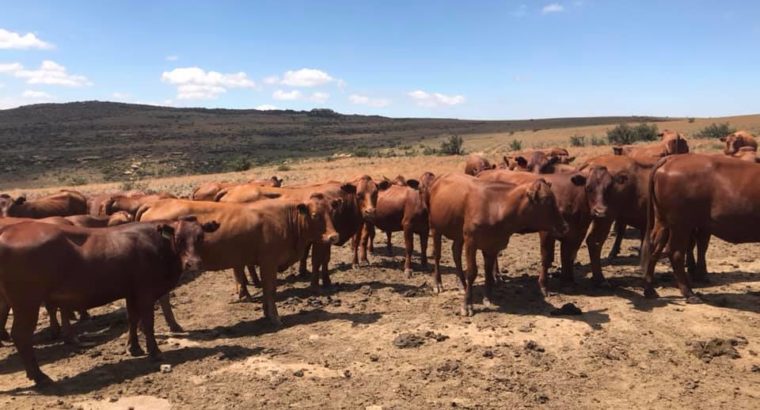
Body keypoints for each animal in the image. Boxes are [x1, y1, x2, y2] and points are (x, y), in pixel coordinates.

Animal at [0, 216, 219, 386]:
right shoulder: (146, 293)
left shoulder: (131, 292)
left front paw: (134, 348)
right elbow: (148, 323)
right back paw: (40, 376)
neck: (158, 245)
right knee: (21, 335)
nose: (193, 263)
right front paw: (154, 351)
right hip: (26, 303)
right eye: (179, 239)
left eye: (200, 237)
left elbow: (132, 319)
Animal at [137, 196, 339, 329]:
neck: (286, 219)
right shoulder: (269, 261)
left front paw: (266, 313)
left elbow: (266, 290)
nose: (333, 236)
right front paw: (275, 318)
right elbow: (270, 290)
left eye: (332, 212)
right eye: (314, 214)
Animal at [428, 173, 568, 316]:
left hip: (458, 234)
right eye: (547, 200)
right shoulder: (471, 242)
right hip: (435, 227)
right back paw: (438, 284)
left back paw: (462, 285)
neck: (496, 207)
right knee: (437, 255)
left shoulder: (492, 245)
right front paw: (467, 305)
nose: (564, 226)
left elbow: (488, 271)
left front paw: (487, 298)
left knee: (455, 253)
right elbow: (472, 272)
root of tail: (441, 177)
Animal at [477, 166, 615, 295]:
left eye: (609, 187)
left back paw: (497, 276)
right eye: (588, 187)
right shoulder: (547, 232)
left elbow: (569, 256)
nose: (600, 211)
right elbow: (547, 257)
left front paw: (568, 282)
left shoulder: (577, 233)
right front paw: (543, 286)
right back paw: (496, 278)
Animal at [641, 154, 760, 302]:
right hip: (681, 224)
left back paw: (650, 290)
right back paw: (689, 293)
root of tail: (672, 159)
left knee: (654, 248)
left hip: (663, 222)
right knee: (675, 253)